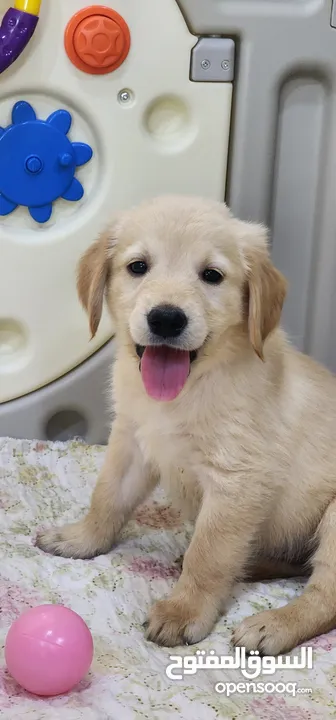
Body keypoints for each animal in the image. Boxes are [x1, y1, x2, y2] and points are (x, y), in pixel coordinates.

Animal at [37, 195, 336, 652]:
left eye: (212, 275)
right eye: (138, 266)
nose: (166, 318)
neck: (188, 389)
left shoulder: (237, 480)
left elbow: (208, 553)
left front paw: (184, 611)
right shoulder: (132, 442)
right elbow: (107, 498)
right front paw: (81, 538)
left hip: (334, 520)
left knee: (323, 593)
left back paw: (275, 623)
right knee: (295, 564)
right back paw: (253, 565)